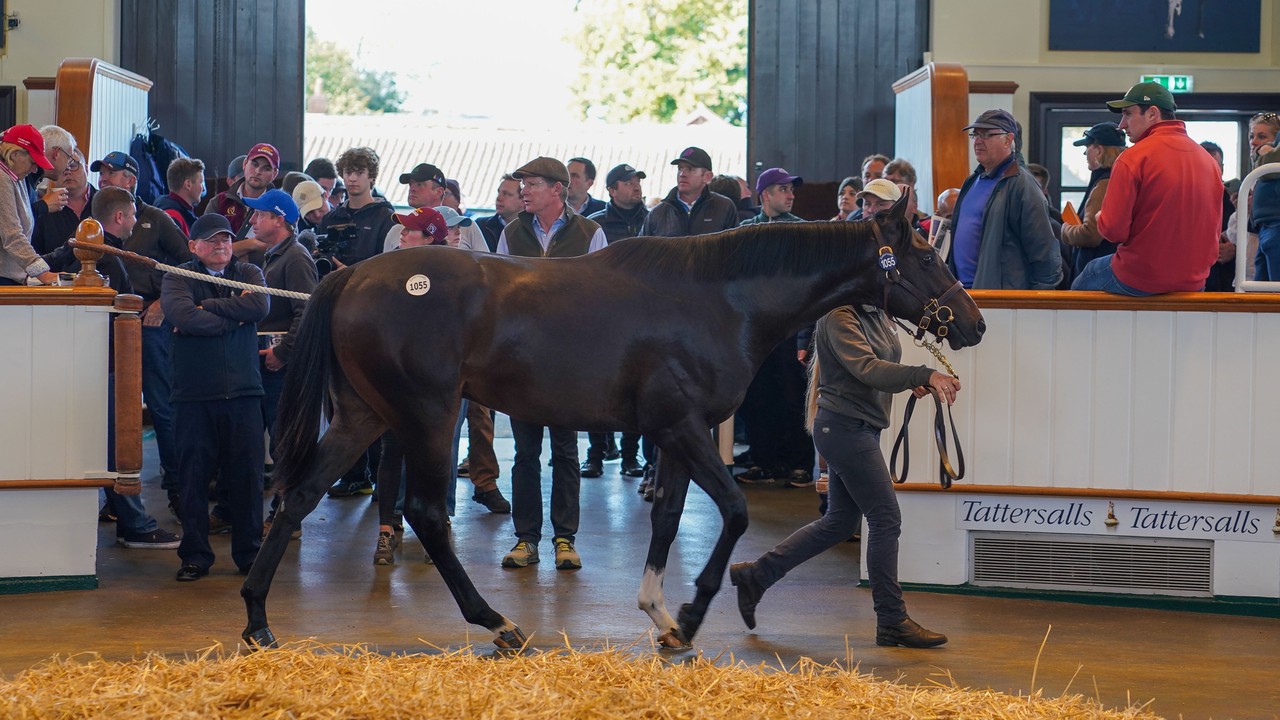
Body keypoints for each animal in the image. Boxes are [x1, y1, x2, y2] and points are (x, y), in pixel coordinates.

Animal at [244, 196, 983, 650]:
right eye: (925, 258)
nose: (972, 324)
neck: (720, 299)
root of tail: (350, 277)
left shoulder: (673, 436)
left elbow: (668, 519)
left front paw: (662, 618)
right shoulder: (681, 427)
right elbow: (735, 511)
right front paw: (692, 613)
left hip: (366, 415)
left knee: (298, 495)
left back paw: (256, 619)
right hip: (426, 414)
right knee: (424, 514)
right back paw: (499, 624)